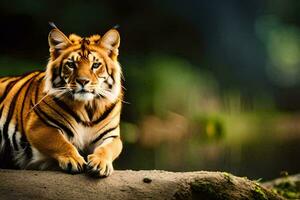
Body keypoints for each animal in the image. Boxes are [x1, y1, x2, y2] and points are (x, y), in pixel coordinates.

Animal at [0, 25, 123, 178]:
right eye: (71, 64)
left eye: (95, 65)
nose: (83, 81)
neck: (87, 108)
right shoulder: (39, 126)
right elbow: (61, 142)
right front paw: (74, 160)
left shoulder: (112, 136)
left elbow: (107, 148)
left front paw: (100, 163)